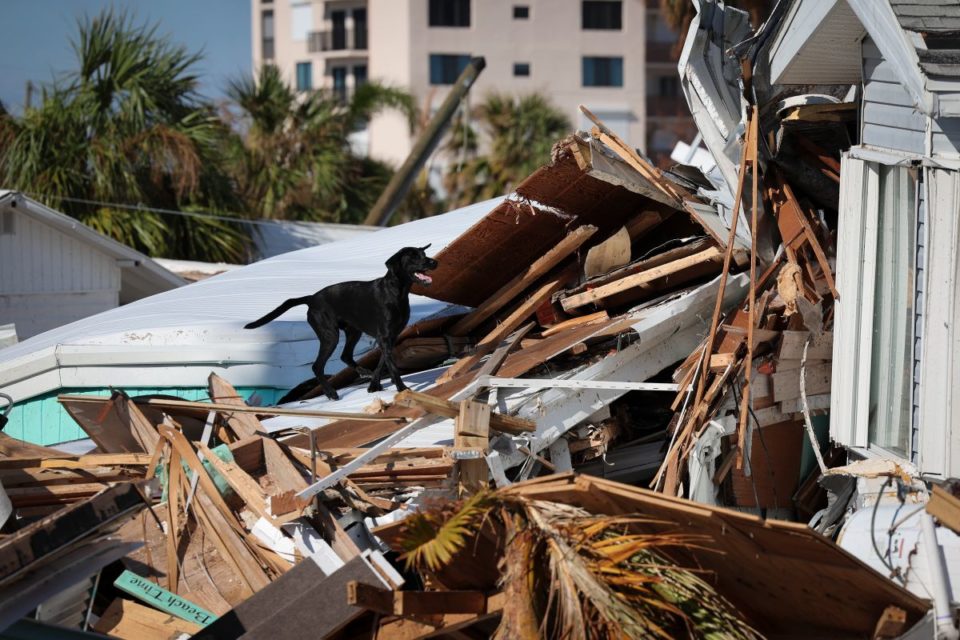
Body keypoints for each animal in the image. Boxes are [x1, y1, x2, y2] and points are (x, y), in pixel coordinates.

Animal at [248, 245, 442, 400]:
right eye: (413, 257)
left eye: (424, 254)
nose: (434, 262)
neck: (396, 292)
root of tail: (312, 299)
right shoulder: (384, 337)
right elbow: (392, 366)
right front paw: (402, 389)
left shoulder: (390, 337)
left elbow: (382, 362)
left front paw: (374, 385)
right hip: (330, 336)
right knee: (317, 366)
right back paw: (331, 392)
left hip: (353, 331)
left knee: (345, 356)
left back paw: (362, 372)